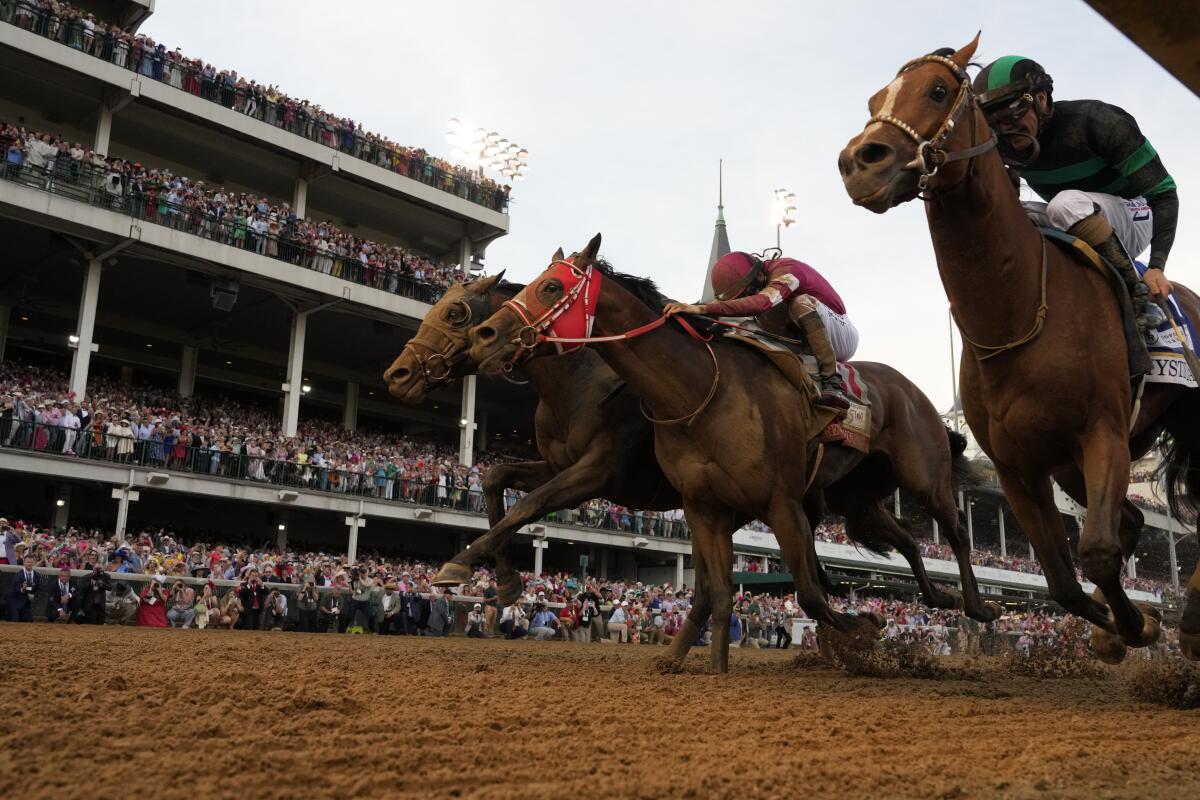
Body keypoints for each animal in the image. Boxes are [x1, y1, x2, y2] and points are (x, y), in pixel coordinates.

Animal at [386, 275, 1003, 623]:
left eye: (457, 312)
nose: (397, 374)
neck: (583, 380)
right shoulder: (558, 463)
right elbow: (496, 482)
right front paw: (506, 580)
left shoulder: (598, 472)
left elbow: (529, 506)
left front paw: (459, 566)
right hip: (855, 497)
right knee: (907, 539)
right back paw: (936, 600)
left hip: (922, 473)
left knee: (954, 530)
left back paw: (974, 603)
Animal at [835, 34, 1200, 662]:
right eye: (876, 99)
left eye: (938, 89)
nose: (860, 162)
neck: (1016, 311)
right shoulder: (1018, 465)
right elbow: (1062, 580)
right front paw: (1124, 626)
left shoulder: (1101, 432)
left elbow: (1094, 552)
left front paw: (1137, 625)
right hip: (1081, 464)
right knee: (1129, 518)